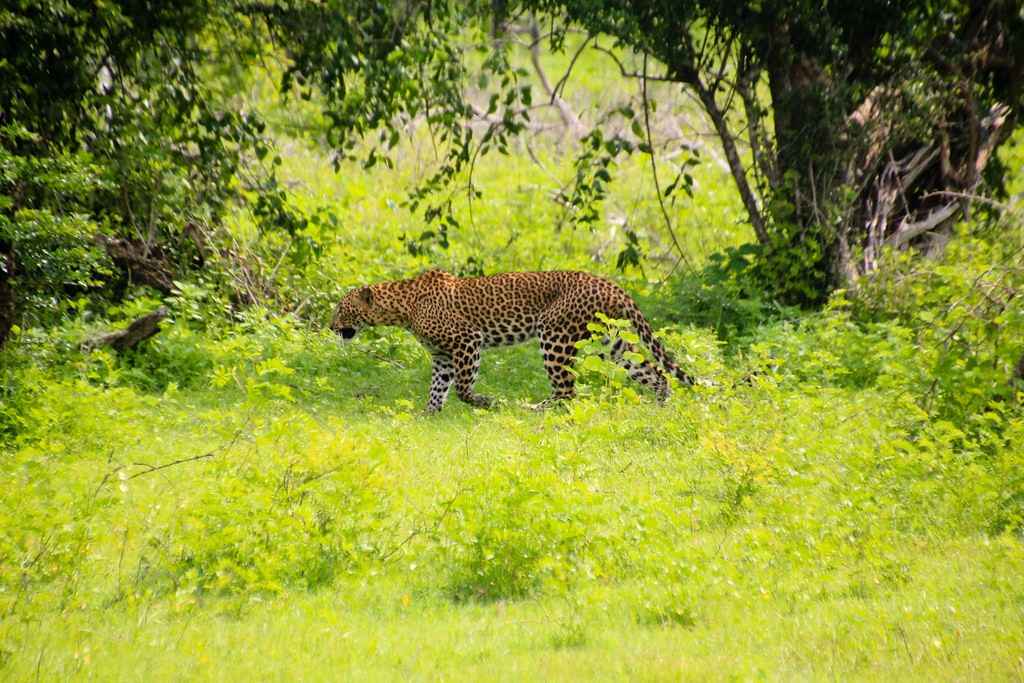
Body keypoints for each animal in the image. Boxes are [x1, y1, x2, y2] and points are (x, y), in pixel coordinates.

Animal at [329, 270, 696, 411]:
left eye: (342, 308)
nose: (331, 327)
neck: (403, 308)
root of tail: (611, 284)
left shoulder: (466, 341)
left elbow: (462, 388)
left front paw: (485, 402)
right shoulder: (442, 356)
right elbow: (437, 389)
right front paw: (427, 416)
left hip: (554, 334)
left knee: (567, 390)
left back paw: (533, 410)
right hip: (610, 340)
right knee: (654, 372)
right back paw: (661, 407)